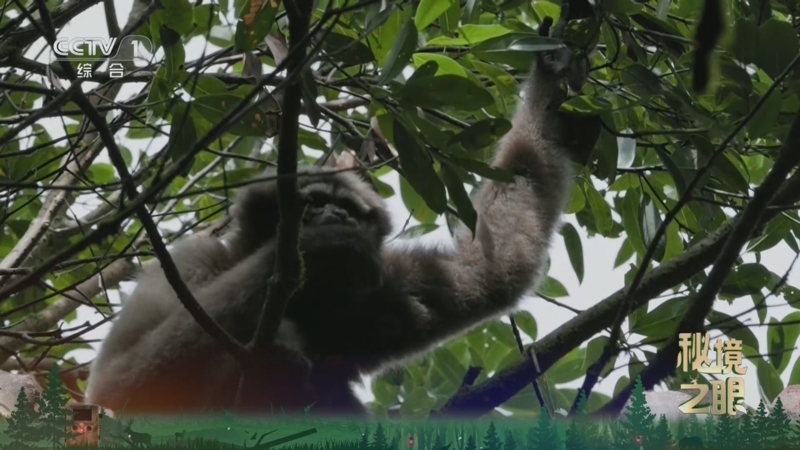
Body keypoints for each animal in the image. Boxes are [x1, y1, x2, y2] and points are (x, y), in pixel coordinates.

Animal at [84, 18, 600, 416]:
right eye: (312, 203)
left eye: (347, 207)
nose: (333, 214)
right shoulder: (194, 259)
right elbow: (119, 387)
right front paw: (312, 249)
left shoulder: (382, 279)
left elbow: (494, 268)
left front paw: (552, 89)